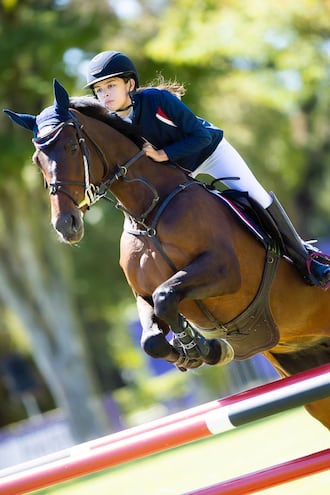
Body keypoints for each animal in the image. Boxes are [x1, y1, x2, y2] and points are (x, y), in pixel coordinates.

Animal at [3, 81, 330, 430]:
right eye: (37, 160)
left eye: (71, 147)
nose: (66, 225)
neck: (148, 215)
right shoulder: (142, 294)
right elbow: (151, 338)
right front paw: (199, 351)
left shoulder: (225, 271)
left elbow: (167, 295)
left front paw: (205, 347)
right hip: (304, 367)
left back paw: (317, 268)